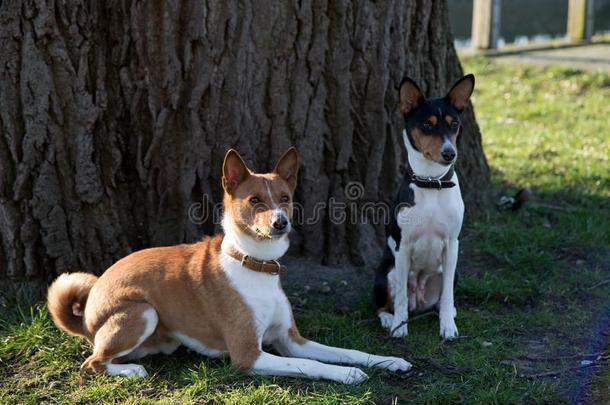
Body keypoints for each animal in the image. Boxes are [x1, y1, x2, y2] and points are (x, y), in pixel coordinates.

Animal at [46, 148, 408, 382]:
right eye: (255, 201)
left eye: (285, 198)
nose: (281, 223)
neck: (257, 266)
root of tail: (86, 315)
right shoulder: (249, 355)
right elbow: (312, 366)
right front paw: (348, 374)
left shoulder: (292, 340)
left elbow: (346, 350)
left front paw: (388, 360)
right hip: (142, 311)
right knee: (92, 362)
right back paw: (131, 372)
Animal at [370, 75, 476, 338]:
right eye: (427, 125)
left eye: (454, 124)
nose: (449, 153)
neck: (432, 183)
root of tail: (418, 299)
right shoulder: (403, 247)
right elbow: (399, 299)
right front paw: (399, 326)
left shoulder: (452, 245)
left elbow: (447, 296)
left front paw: (448, 327)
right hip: (387, 273)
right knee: (384, 304)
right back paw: (389, 319)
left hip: (448, 272)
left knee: (441, 298)